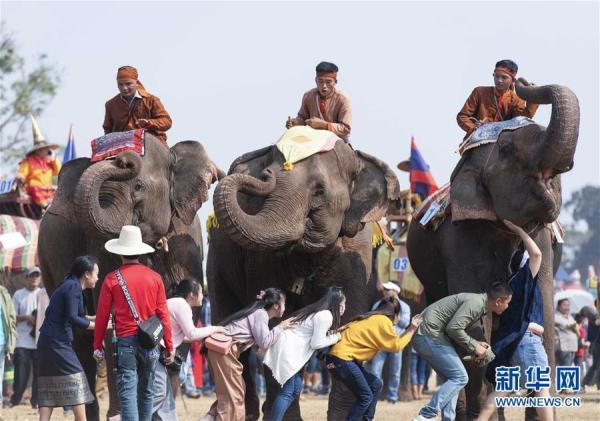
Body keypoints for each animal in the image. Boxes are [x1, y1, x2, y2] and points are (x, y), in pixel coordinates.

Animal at [39, 135, 223, 420]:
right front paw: (121, 413)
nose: (124, 159)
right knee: (79, 339)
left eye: (138, 186)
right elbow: (111, 319)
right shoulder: (101, 248)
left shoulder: (188, 243)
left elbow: (185, 316)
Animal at [209, 139, 400, 420]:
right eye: (265, 175)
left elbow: (349, 314)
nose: (266, 175)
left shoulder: (358, 254)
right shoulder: (261, 261)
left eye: (319, 191)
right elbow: (275, 322)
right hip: (217, 263)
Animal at [406, 79, 580, 420]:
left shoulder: (542, 238)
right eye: (508, 150)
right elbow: (473, 314)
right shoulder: (460, 234)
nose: (523, 82)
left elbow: (543, 303)